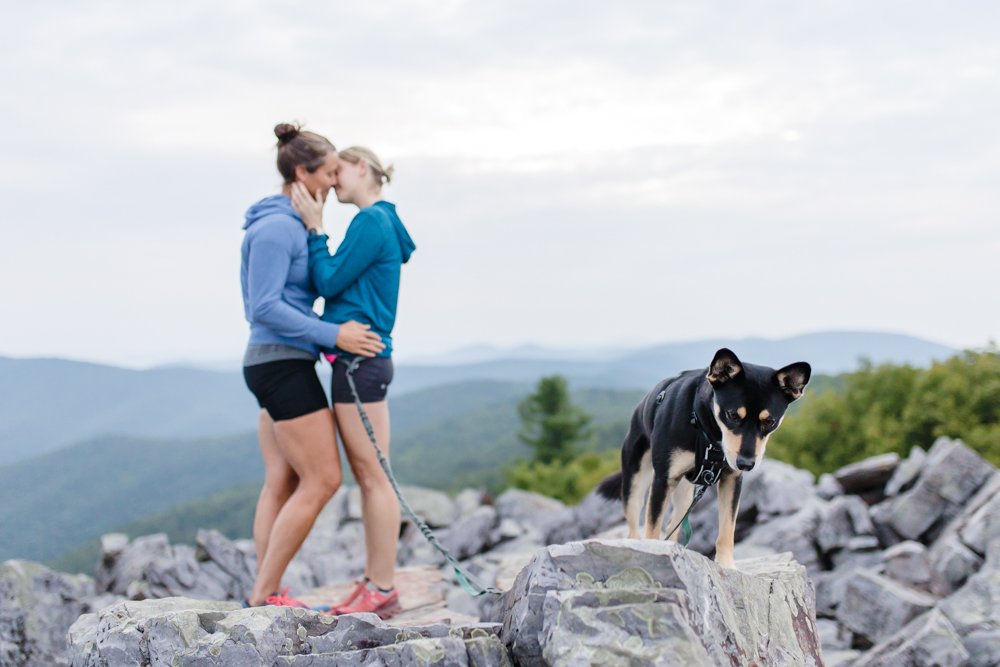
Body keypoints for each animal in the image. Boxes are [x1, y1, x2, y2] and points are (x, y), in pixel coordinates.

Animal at [596, 350, 808, 568]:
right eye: (732, 415)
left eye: (770, 421)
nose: (746, 464)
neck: (707, 430)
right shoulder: (663, 479)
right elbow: (652, 528)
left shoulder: (732, 479)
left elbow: (727, 529)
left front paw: (726, 565)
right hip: (635, 481)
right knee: (634, 525)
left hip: (684, 494)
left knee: (673, 525)